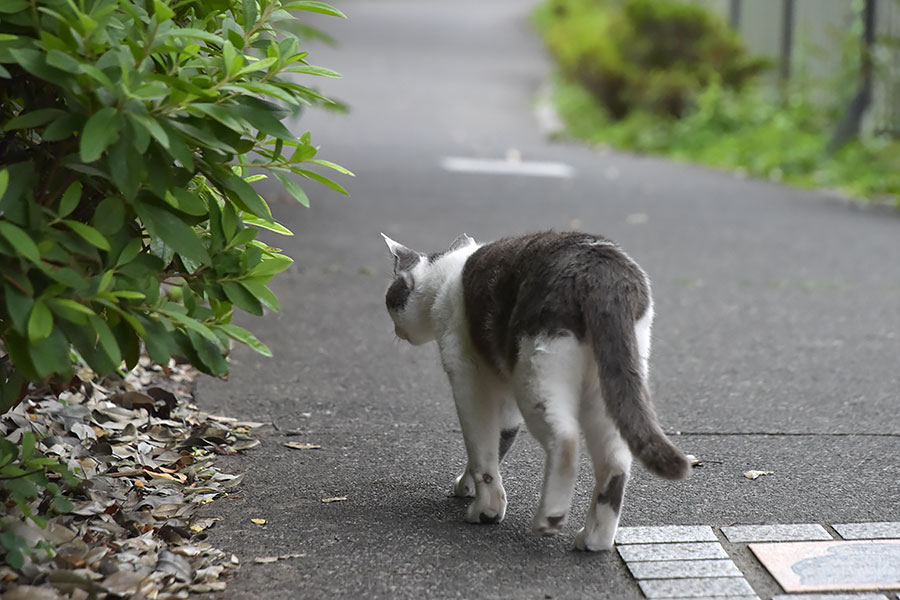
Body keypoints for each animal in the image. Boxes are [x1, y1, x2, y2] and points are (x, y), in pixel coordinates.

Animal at [382, 232, 688, 552]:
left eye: (390, 299)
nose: (396, 331)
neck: (446, 276)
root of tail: (601, 268)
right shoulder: (503, 391)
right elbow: (499, 442)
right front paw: (468, 487)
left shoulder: (467, 378)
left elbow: (481, 449)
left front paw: (487, 510)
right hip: (609, 383)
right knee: (615, 460)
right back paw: (594, 539)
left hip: (536, 373)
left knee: (565, 441)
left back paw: (550, 519)